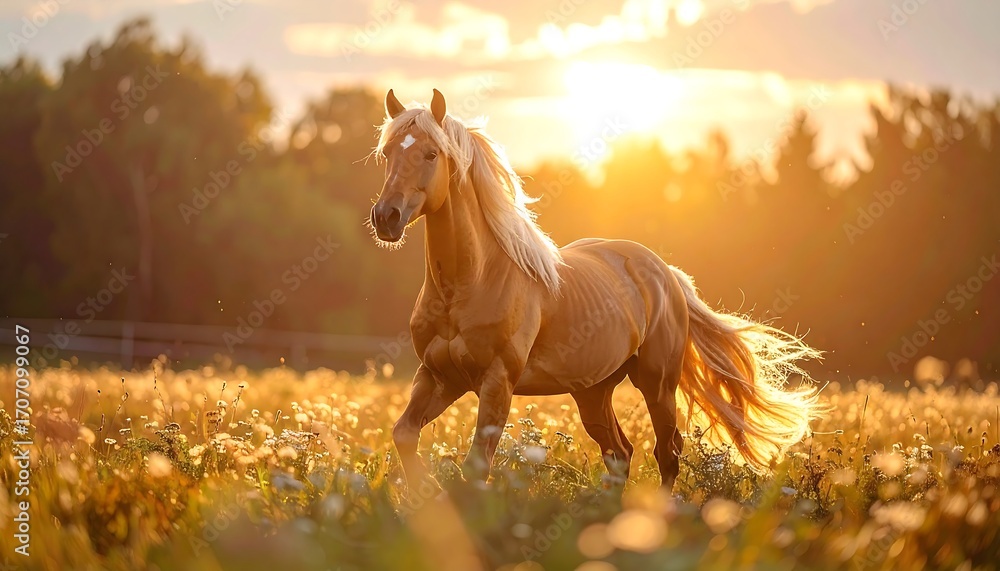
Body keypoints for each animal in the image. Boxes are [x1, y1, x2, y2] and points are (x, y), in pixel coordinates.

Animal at [368, 88, 823, 491]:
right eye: (387, 154)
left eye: (431, 153)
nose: (386, 217)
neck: (469, 283)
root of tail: (666, 274)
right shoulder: (439, 376)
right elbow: (404, 433)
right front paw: (427, 493)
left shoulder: (496, 382)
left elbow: (476, 465)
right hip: (592, 391)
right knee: (620, 453)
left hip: (656, 383)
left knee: (666, 452)